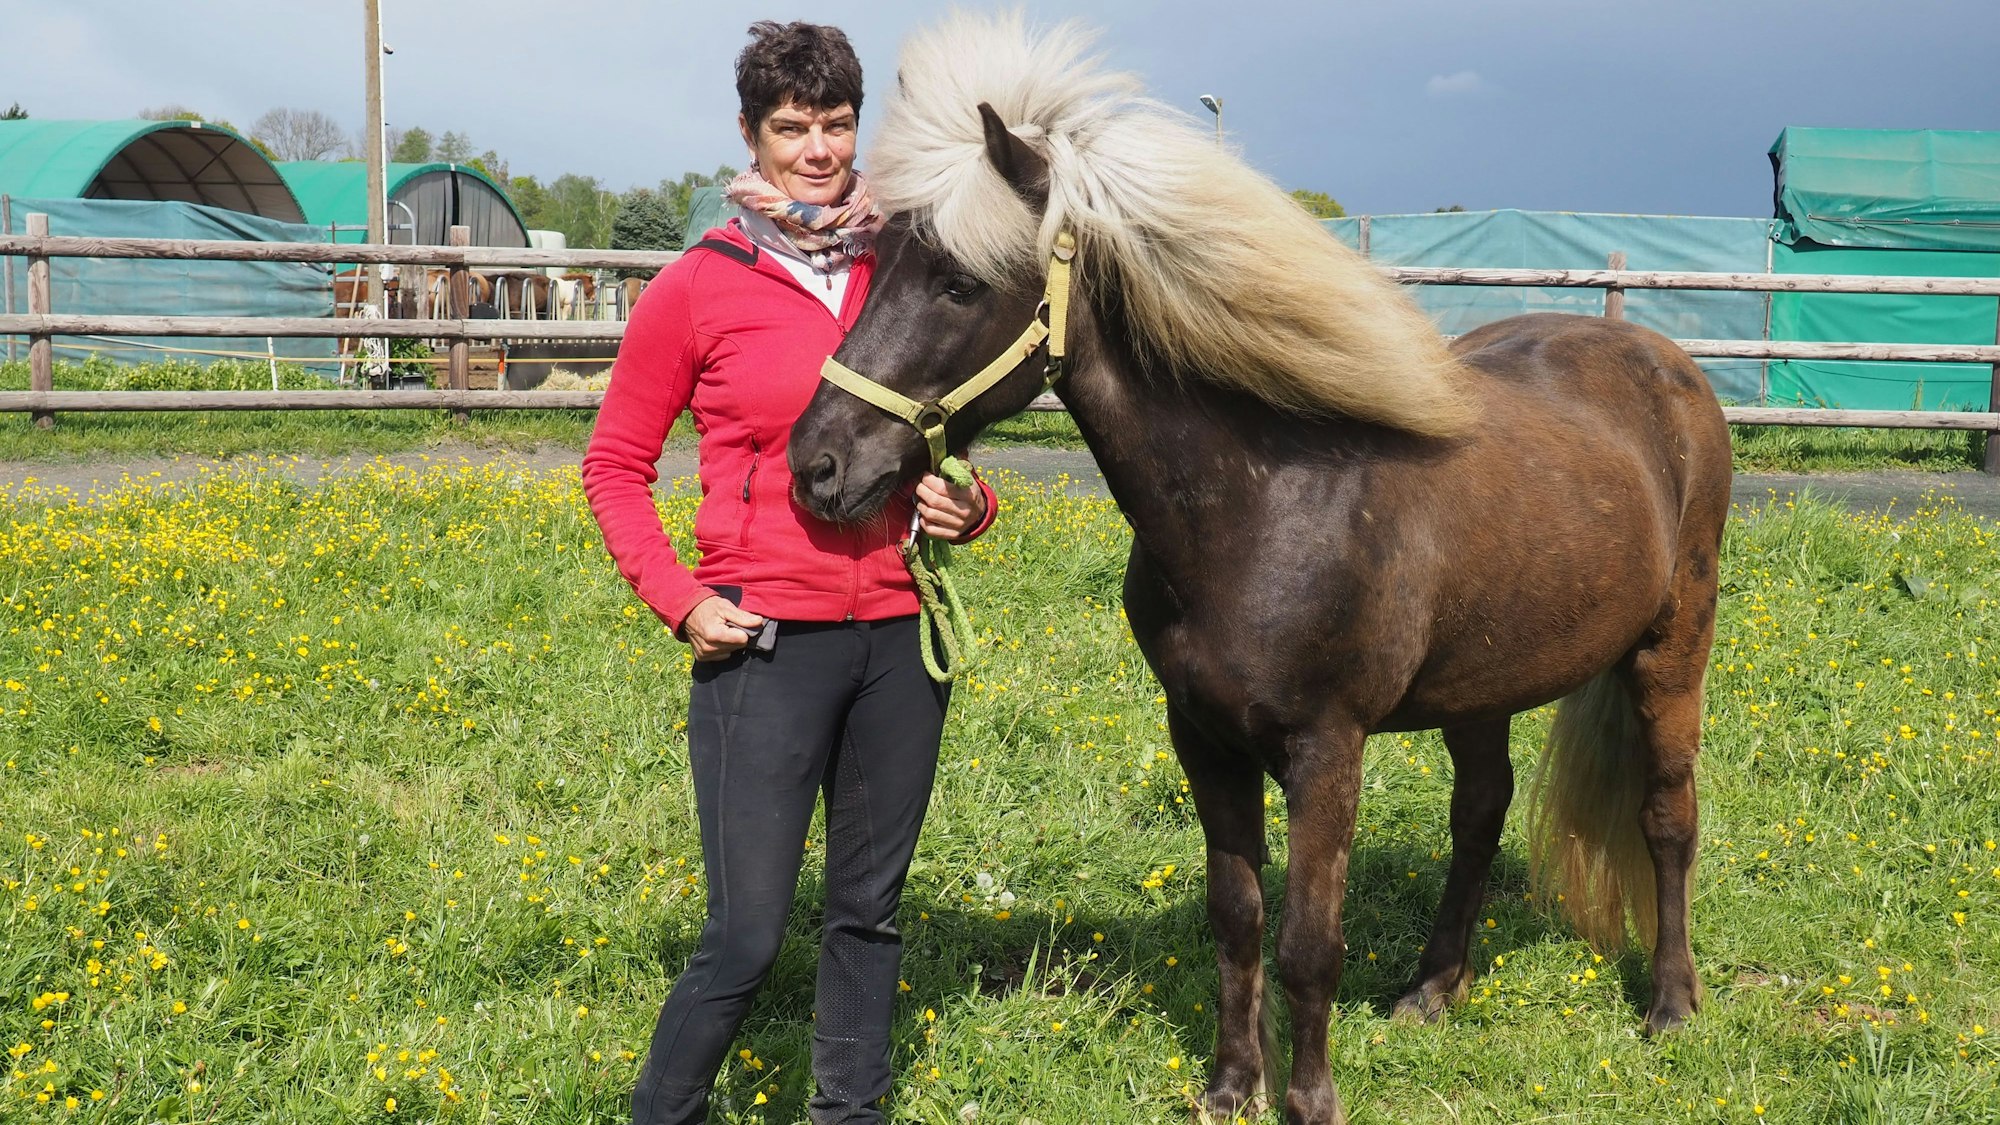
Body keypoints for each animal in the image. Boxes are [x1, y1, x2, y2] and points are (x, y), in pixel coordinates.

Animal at [785, 15, 1731, 1125]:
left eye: (958, 283)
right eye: (878, 260)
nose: (816, 466)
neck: (1265, 506)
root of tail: (1668, 369)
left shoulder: (1327, 750)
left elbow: (1308, 941)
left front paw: (1310, 1098)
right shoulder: (1202, 738)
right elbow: (1236, 914)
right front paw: (1233, 1084)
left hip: (1670, 649)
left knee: (1666, 816)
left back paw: (1670, 1002)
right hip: (1482, 682)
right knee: (1479, 814)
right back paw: (1431, 987)